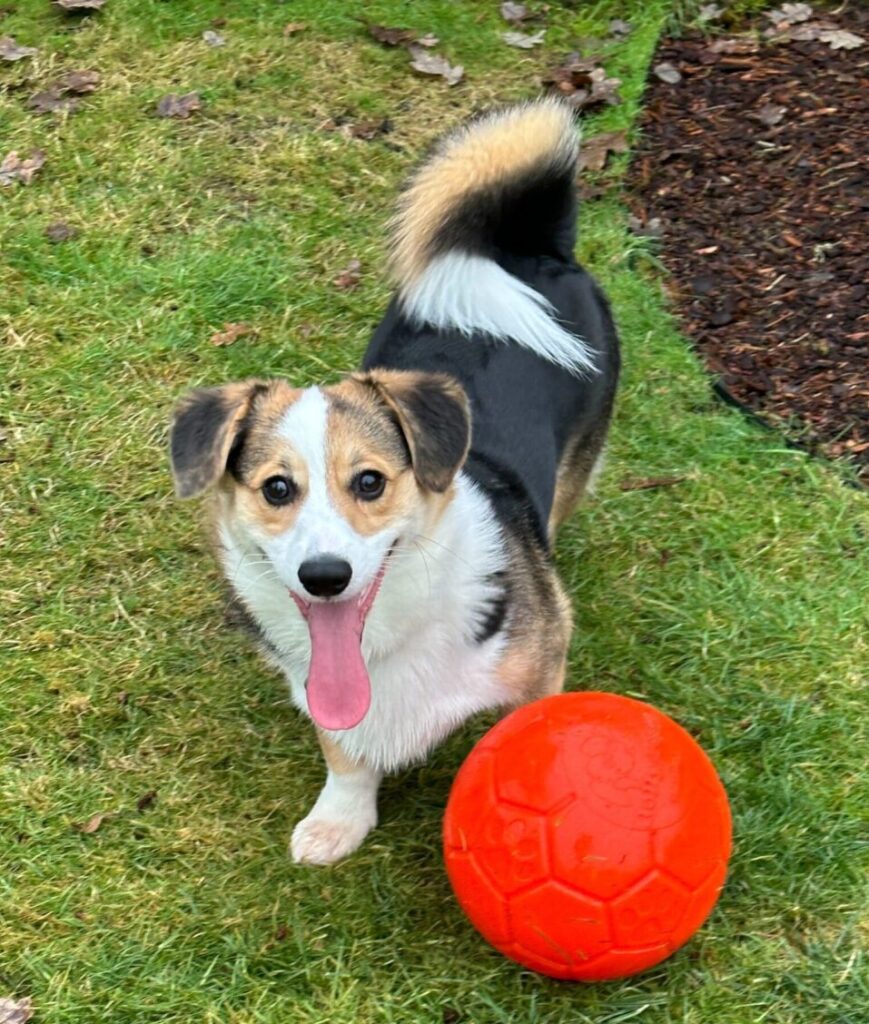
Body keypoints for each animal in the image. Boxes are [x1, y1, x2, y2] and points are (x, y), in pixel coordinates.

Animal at [167, 99, 618, 864]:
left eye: (371, 482)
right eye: (276, 489)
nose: (324, 577)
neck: (388, 634)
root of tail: (527, 250)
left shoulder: (543, 662)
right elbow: (345, 754)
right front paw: (338, 822)